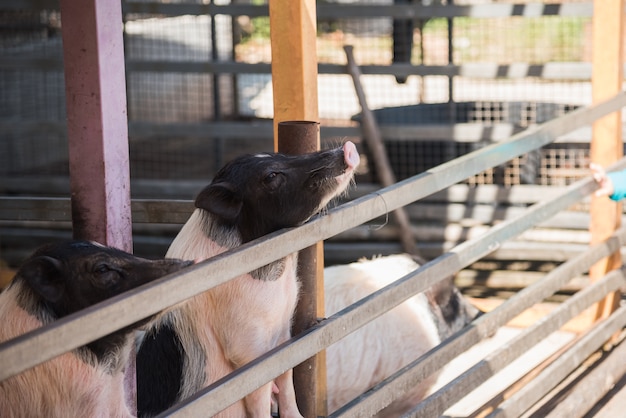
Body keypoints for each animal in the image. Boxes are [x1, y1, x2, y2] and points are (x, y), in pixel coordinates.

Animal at [136, 142, 360, 416]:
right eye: (271, 176)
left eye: (281, 154)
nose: (347, 148)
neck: (278, 277)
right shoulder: (247, 346)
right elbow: (259, 393)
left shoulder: (283, 331)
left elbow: (286, 378)